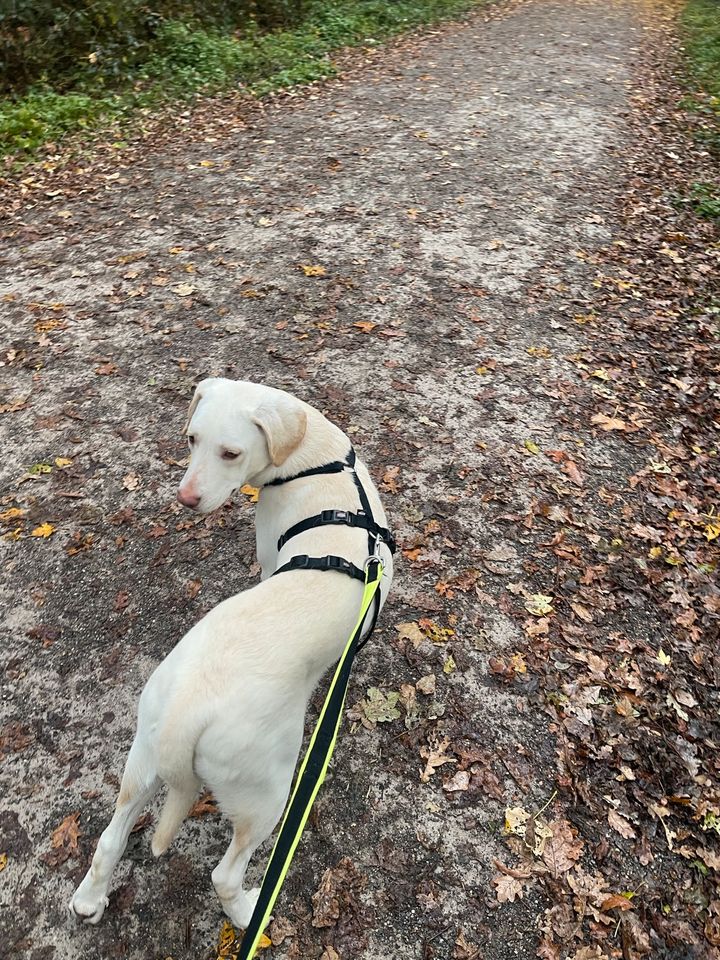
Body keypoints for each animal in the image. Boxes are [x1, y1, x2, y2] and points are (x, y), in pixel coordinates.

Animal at [69, 380, 394, 928]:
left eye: (230, 452)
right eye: (192, 440)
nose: (185, 499)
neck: (316, 460)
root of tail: (185, 714)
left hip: (143, 759)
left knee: (110, 839)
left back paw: (90, 899)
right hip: (267, 794)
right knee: (226, 873)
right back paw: (249, 915)